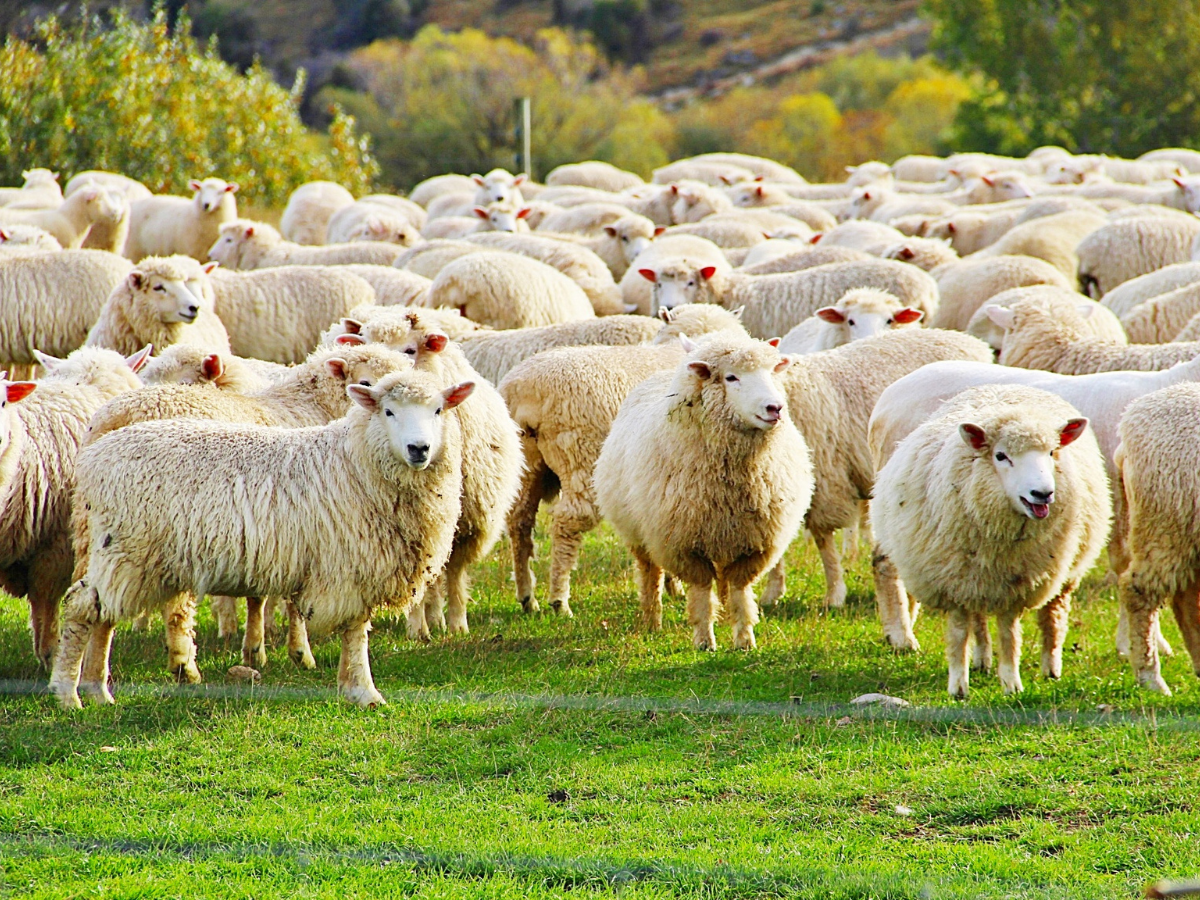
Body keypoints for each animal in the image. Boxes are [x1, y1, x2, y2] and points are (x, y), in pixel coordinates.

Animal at [49, 366, 471, 709]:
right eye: (388, 411)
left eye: (438, 410)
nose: (419, 449)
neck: (357, 461)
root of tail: (95, 456)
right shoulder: (349, 565)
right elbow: (356, 632)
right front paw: (363, 691)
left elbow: (353, 632)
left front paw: (350, 686)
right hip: (126, 547)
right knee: (83, 609)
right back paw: (68, 694)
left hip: (124, 554)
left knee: (103, 616)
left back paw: (96, 690)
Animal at [499, 304, 747, 617]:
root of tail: (523, 389)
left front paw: (673, 586)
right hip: (580, 456)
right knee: (567, 522)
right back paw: (559, 600)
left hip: (527, 463)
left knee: (519, 521)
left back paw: (527, 596)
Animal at [594, 334, 813, 649]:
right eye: (731, 377)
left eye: (772, 371)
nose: (775, 408)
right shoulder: (682, 544)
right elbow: (700, 591)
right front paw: (704, 641)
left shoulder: (755, 544)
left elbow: (739, 590)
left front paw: (744, 639)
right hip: (640, 533)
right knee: (650, 574)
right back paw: (651, 621)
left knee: (721, 579)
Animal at [872, 385, 1109, 697]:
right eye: (1000, 456)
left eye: (1051, 452)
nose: (1043, 494)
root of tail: (1007, 386)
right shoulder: (954, 581)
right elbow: (959, 632)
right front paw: (958, 686)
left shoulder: (1017, 584)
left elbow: (1009, 634)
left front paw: (1011, 684)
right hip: (975, 576)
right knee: (977, 617)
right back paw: (979, 660)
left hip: (1063, 570)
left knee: (1053, 615)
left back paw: (1050, 668)